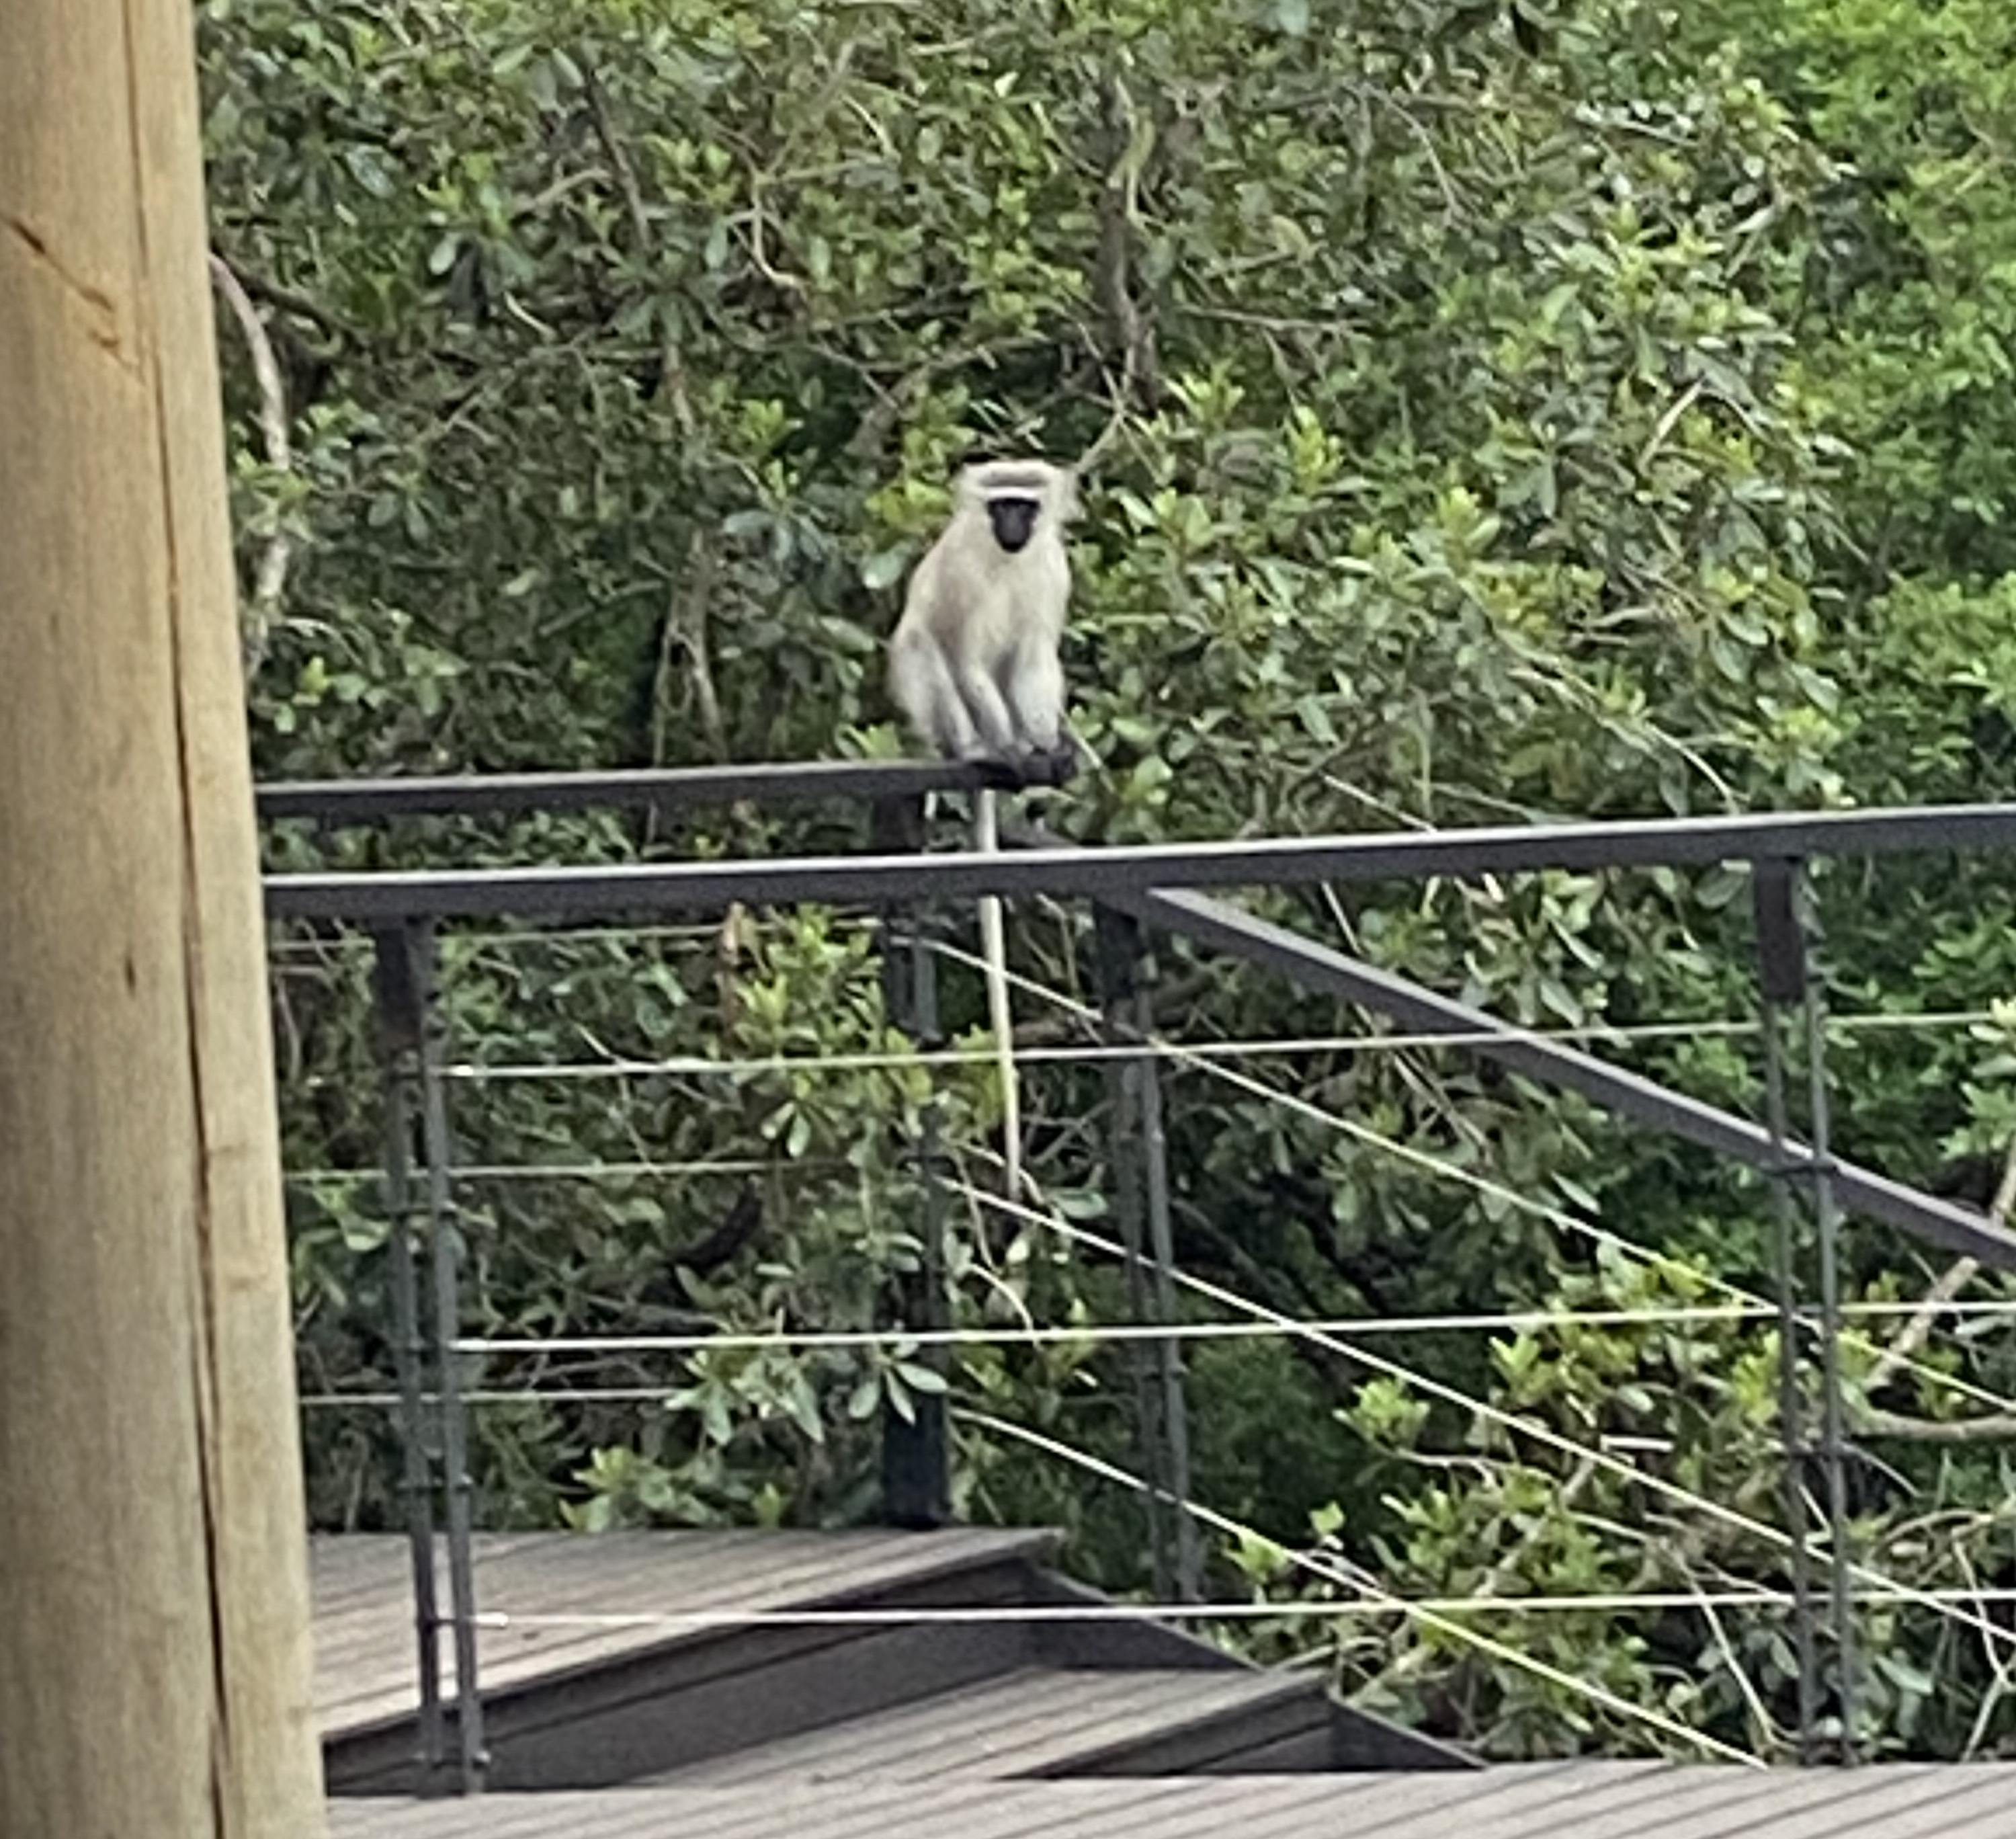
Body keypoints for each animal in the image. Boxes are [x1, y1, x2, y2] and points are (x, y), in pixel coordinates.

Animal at [887, 459, 1082, 1206]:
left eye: (1025, 505)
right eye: (1001, 506)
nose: (1013, 527)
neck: (1007, 563)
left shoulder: (1050, 570)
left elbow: (1032, 659)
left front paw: (1047, 750)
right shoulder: (967, 575)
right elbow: (965, 660)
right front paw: (1011, 753)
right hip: (935, 709)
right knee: (925, 649)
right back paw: (987, 754)